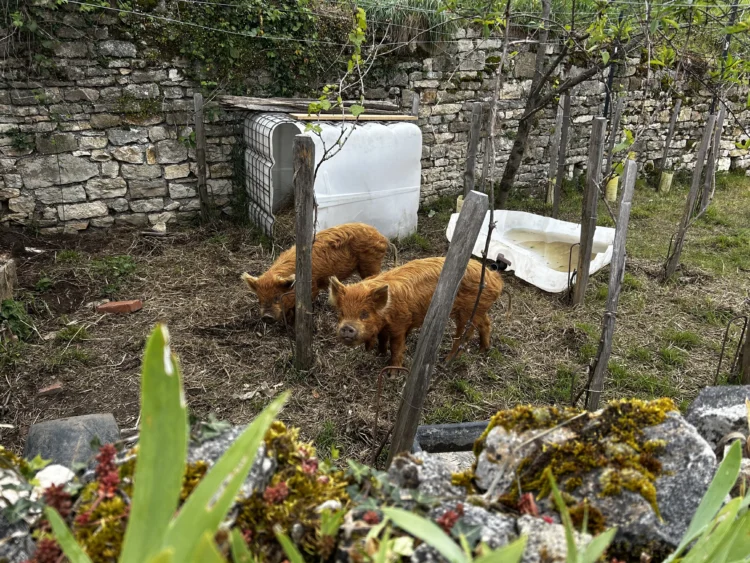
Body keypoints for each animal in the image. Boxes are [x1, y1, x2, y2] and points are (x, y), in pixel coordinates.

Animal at [241, 223, 389, 324]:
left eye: (277, 297)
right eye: (259, 298)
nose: (267, 317)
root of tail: (381, 237)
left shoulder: (312, 287)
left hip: (371, 263)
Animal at [328, 256, 503, 367]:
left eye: (364, 314)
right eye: (342, 313)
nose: (346, 327)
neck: (387, 311)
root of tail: (495, 278)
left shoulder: (400, 324)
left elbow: (397, 346)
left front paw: (392, 374)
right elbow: (383, 338)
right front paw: (380, 353)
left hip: (468, 312)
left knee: (463, 336)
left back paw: (445, 361)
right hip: (479, 309)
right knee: (486, 323)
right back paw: (483, 349)